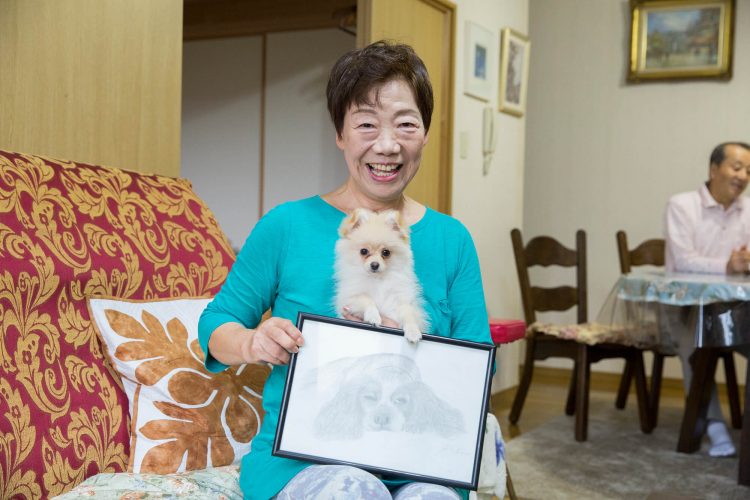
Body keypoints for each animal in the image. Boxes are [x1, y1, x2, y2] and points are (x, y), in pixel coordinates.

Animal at [334, 208, 428, 344]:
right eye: (364, 251)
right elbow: (367, 300)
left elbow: (408, 314)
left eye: (386, 252)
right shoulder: (349, 298)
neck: (377, 279)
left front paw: (413, 331)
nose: (374, 265)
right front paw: (373, 316)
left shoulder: (401, 300)